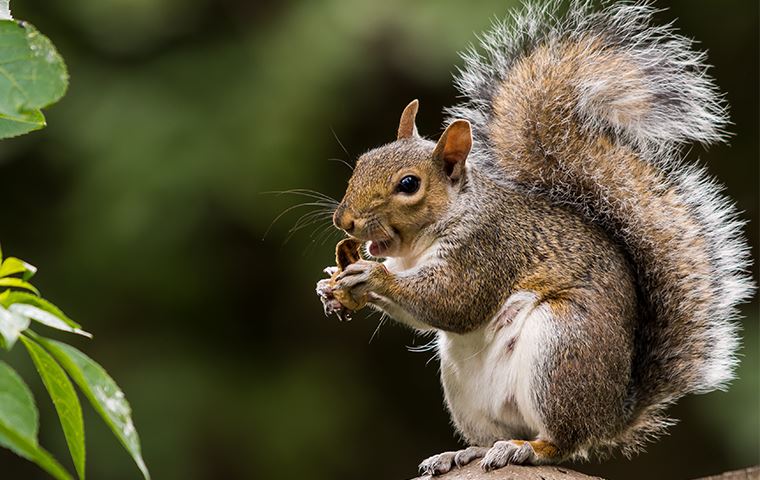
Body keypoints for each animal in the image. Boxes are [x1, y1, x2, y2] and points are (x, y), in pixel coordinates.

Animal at [315, 0, 754, 474]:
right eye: (363, 161)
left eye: (409, 184)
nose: (345, 221)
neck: (423, 243)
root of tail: (612, 413)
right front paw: (329, 287)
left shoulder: (488, 248)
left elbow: (452, 302)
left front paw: (371, 277)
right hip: (465, 388)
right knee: (499, 431)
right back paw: (466, 451)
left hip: (561, 349)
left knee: (562, 440)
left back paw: (527, 449)